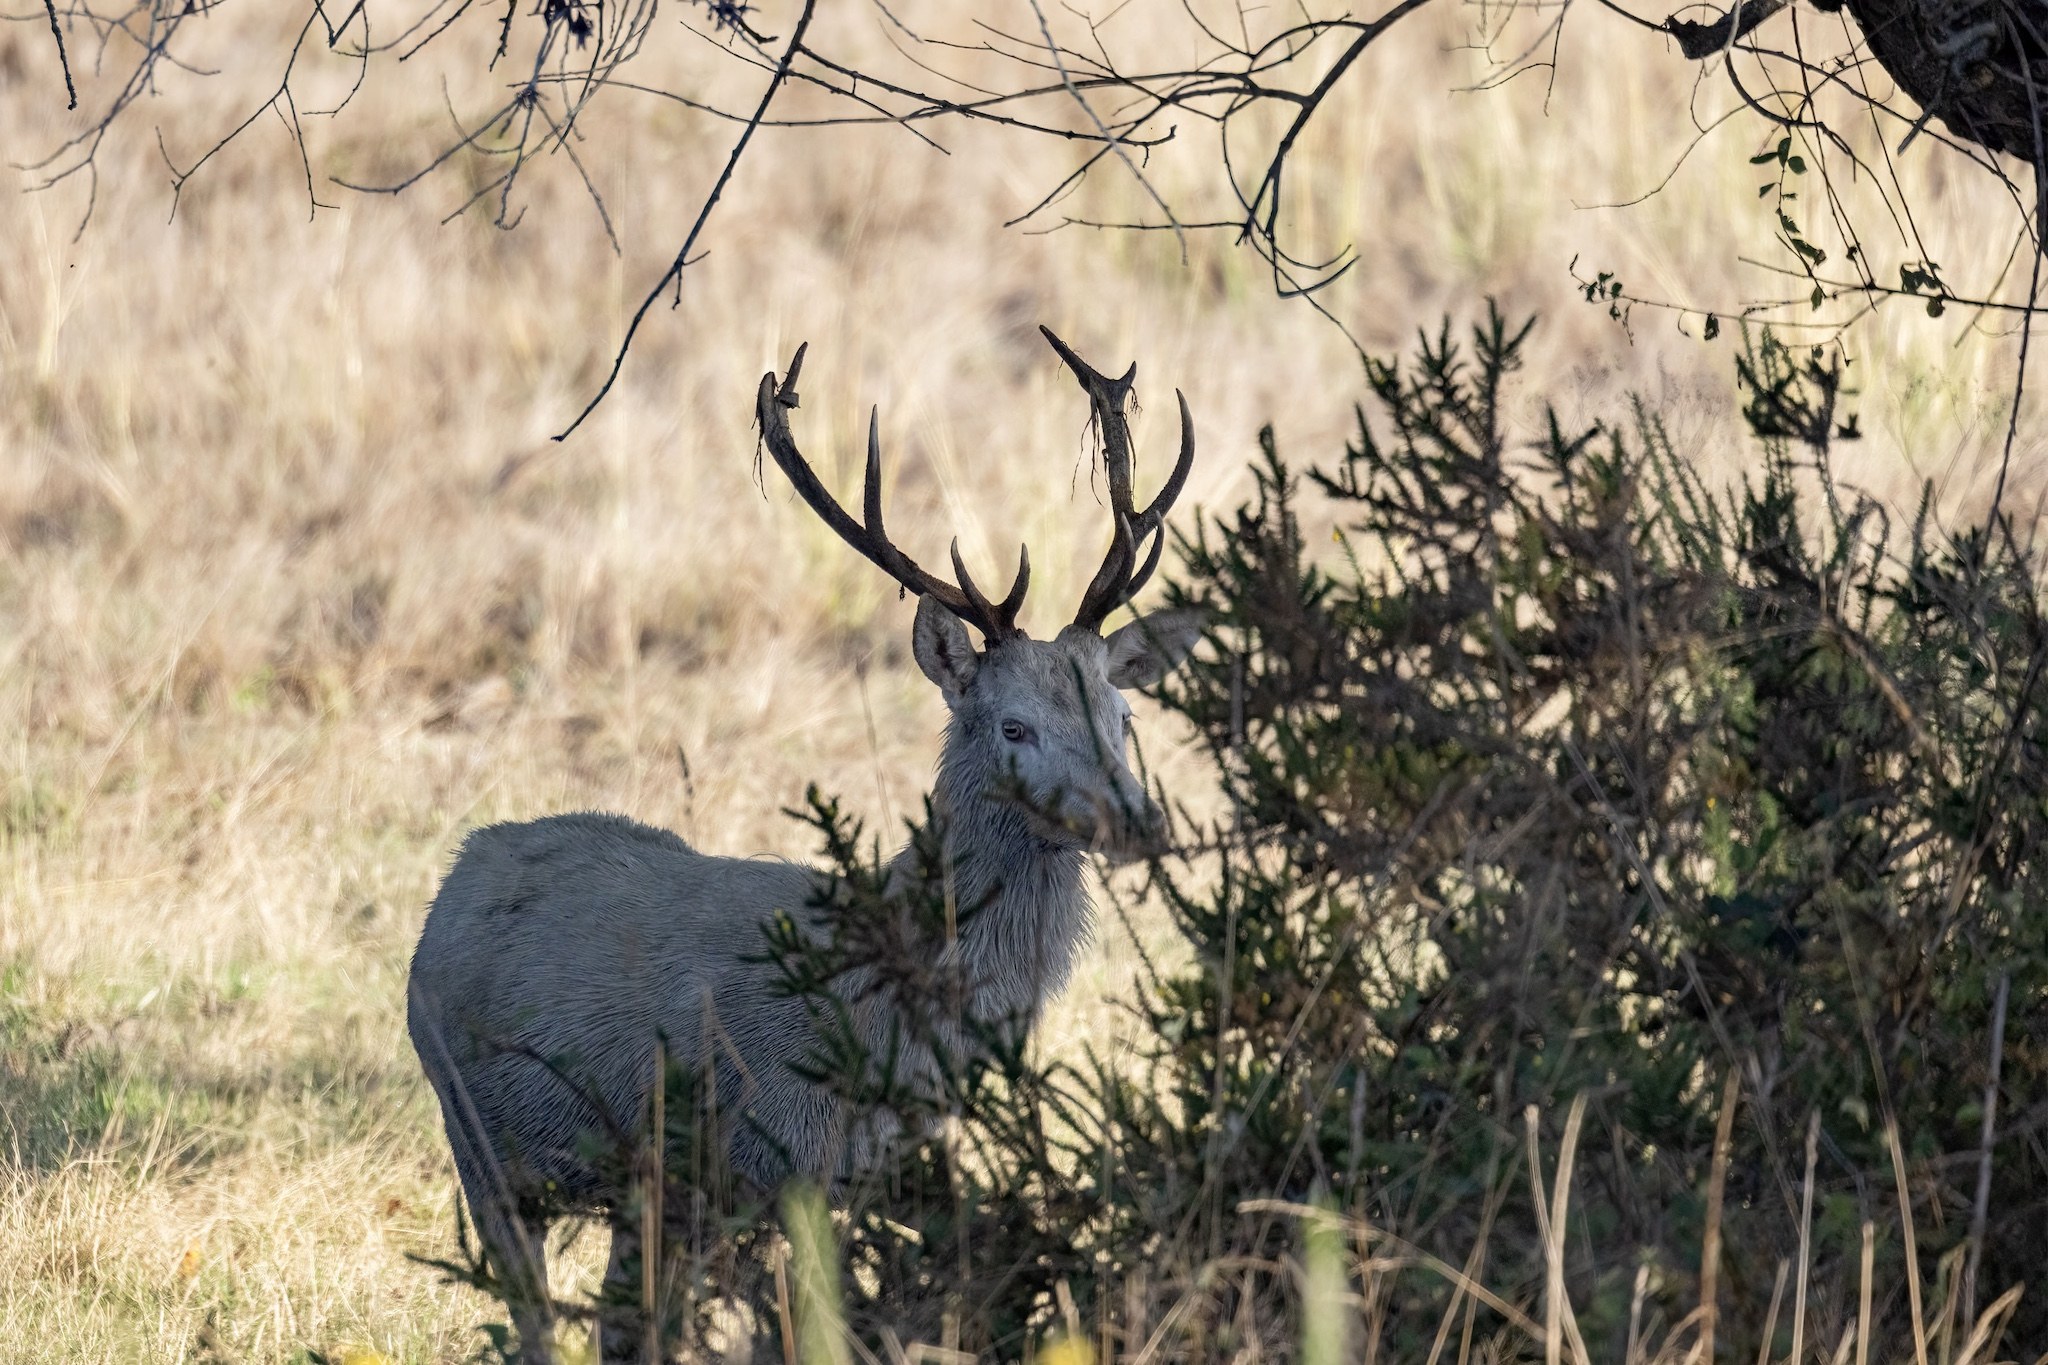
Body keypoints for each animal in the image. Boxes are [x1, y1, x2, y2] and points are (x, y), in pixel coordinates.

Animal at [405, 329, 1202, 1364]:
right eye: (1014, 724)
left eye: (1122, 711)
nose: (1138, 821)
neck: (889, 1026)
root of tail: (456, 877)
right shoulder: (781, 1152)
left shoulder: (880, 1166)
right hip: (478, 1141)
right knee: (533, 1317)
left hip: (644, 1189)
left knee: (625, 1323)